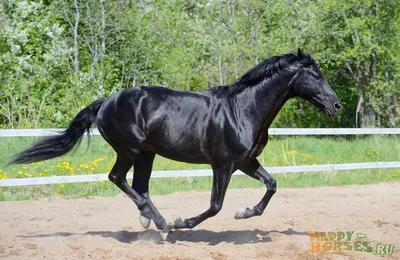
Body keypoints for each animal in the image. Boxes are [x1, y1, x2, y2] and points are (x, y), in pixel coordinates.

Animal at [10, 48, 340, 238]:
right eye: (316, 75)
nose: (336, 105)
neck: (242, 110)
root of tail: (106, 102)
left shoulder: (246, 162)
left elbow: (271, 185)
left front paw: (244, 212)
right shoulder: (223, 165)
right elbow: (215, 206)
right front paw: (183, 222)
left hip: (146, 153)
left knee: (139, 186)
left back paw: (149, 220)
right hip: (129, 149)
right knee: (117, 178)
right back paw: (163, 225)